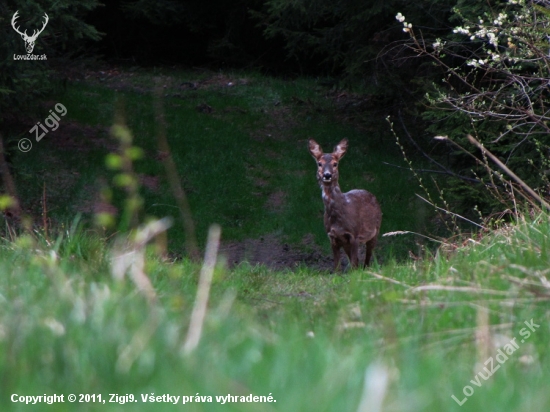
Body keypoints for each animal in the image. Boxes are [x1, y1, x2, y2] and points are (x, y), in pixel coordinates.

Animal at [310, 140, 384, 272]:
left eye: (335, 164)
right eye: (319, 163)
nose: (327, 175)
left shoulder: (354, 234)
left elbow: (354, 264)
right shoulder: (333, 237)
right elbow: (336, 266)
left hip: (376, 230)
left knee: (367, 258)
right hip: (346, 243)